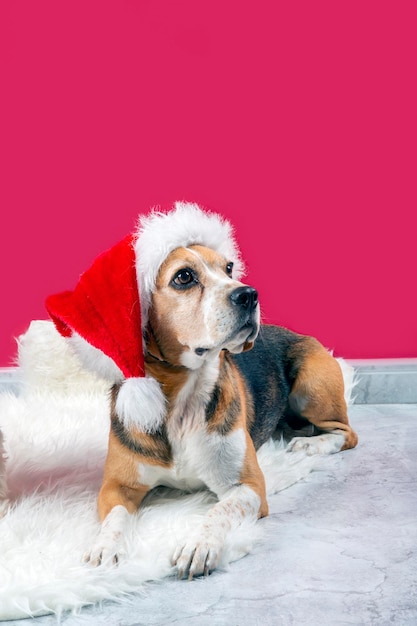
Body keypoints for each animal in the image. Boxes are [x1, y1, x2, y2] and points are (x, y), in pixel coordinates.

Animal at [46, 202, 358, 576]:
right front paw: (105, 547)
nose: (249, 294)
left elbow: (218, 510)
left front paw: (199, 544)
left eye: (229, 267)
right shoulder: (116, 486)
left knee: (346, 433)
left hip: (311, 384)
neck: (183, 397)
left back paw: (310, 445)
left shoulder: (249, 486)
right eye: (184, 277)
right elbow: (117, 518)